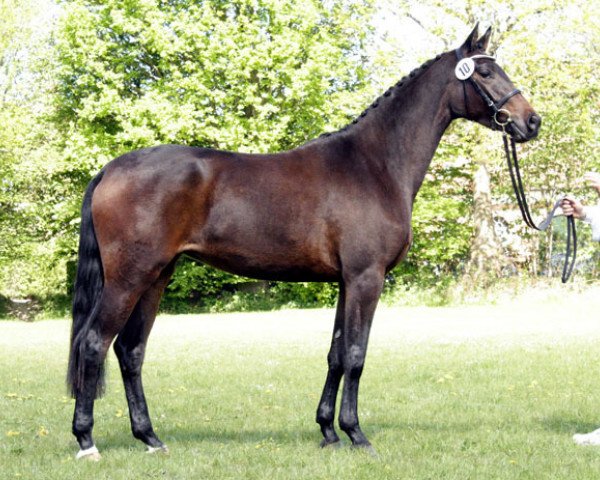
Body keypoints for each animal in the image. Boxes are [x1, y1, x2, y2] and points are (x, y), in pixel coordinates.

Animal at [68, 26, 540, 462]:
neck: (374, 165)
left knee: (130, 351)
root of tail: (110, 169)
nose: (532, 121)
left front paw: (328, 431)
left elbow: (335, 354)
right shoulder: (366, 279)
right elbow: (356, 354)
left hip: (157, 277)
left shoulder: (346, 282)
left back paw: (150, 438)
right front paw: (356, 434)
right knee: (94, 343)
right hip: (129, 279)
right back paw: (87, 441)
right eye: (485, 72)